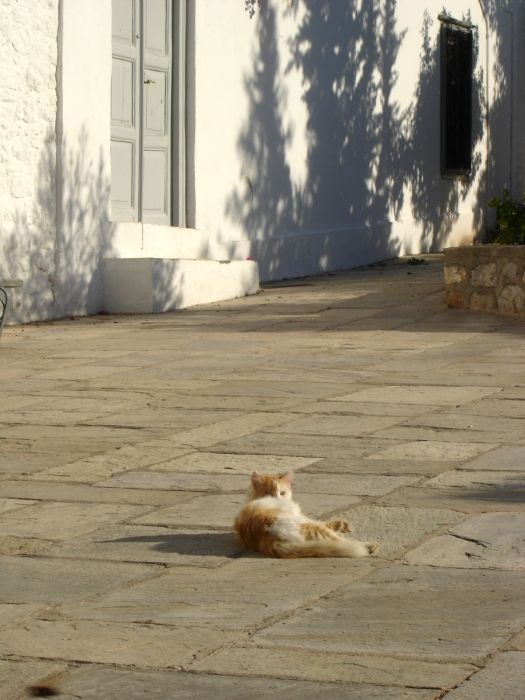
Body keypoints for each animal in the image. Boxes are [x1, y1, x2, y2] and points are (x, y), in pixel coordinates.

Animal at [233, 470, 376, 556]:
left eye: (282, 493)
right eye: (268, 493)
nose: (277, 498)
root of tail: (269, 538)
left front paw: (341, 525)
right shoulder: (301, 515)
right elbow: (320, 521)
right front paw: (341, 526)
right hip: (310, 528)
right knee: (342, 541)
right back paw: (369, 546)